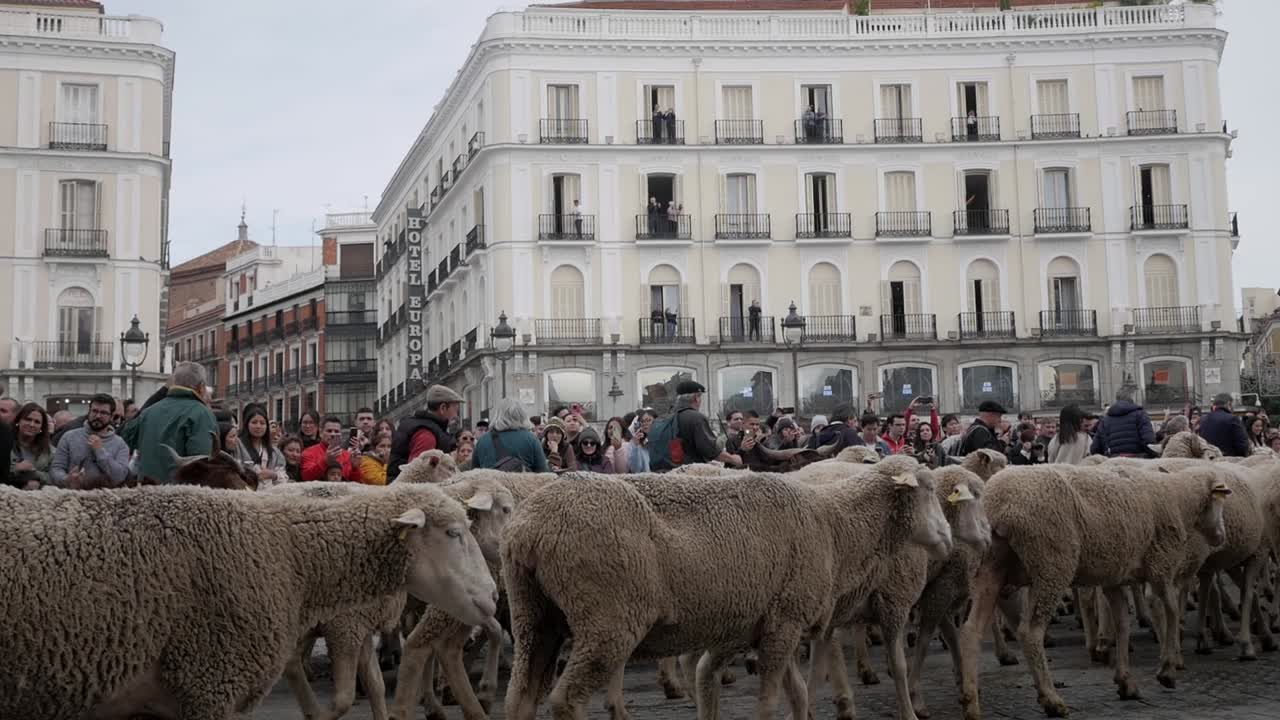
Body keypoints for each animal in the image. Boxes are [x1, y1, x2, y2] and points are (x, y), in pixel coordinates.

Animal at [501, 466, 953, 720]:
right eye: (929, 491)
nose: (949, 539)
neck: (833, 525)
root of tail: (529, 528)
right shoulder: (785, 622)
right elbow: (769, 703)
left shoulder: (759, 625)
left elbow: (792, 694)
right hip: (607, 621)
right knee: (566, 701)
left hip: (534, 620)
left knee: (520, 699)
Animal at [957, 463, 1230, 719]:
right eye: (1219, 501)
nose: (1222, 537)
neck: (1178, 499)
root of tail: (998, 502)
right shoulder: (1161, 567)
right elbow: (1171, 613)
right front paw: (1167, 669)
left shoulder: (1114, 579)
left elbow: (1122, 624)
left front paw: (1125, 681)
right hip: (1051, 563)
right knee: (1030, 632)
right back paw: (1051, 700)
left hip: (988, 566)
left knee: (971, 630)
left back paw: (971, 703)